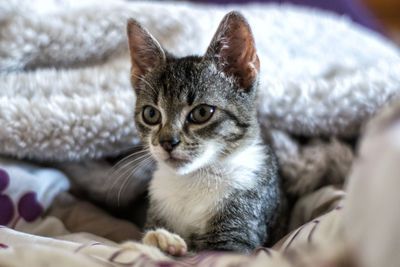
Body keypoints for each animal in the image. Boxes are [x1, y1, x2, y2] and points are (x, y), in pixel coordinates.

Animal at [126, 11, 286, 256]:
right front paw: (157, 239)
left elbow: (203, 255)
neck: (193, 179)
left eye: (202, 112)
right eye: (151, 114)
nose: (167, 141)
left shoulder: (237, 236)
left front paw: (162, 245)